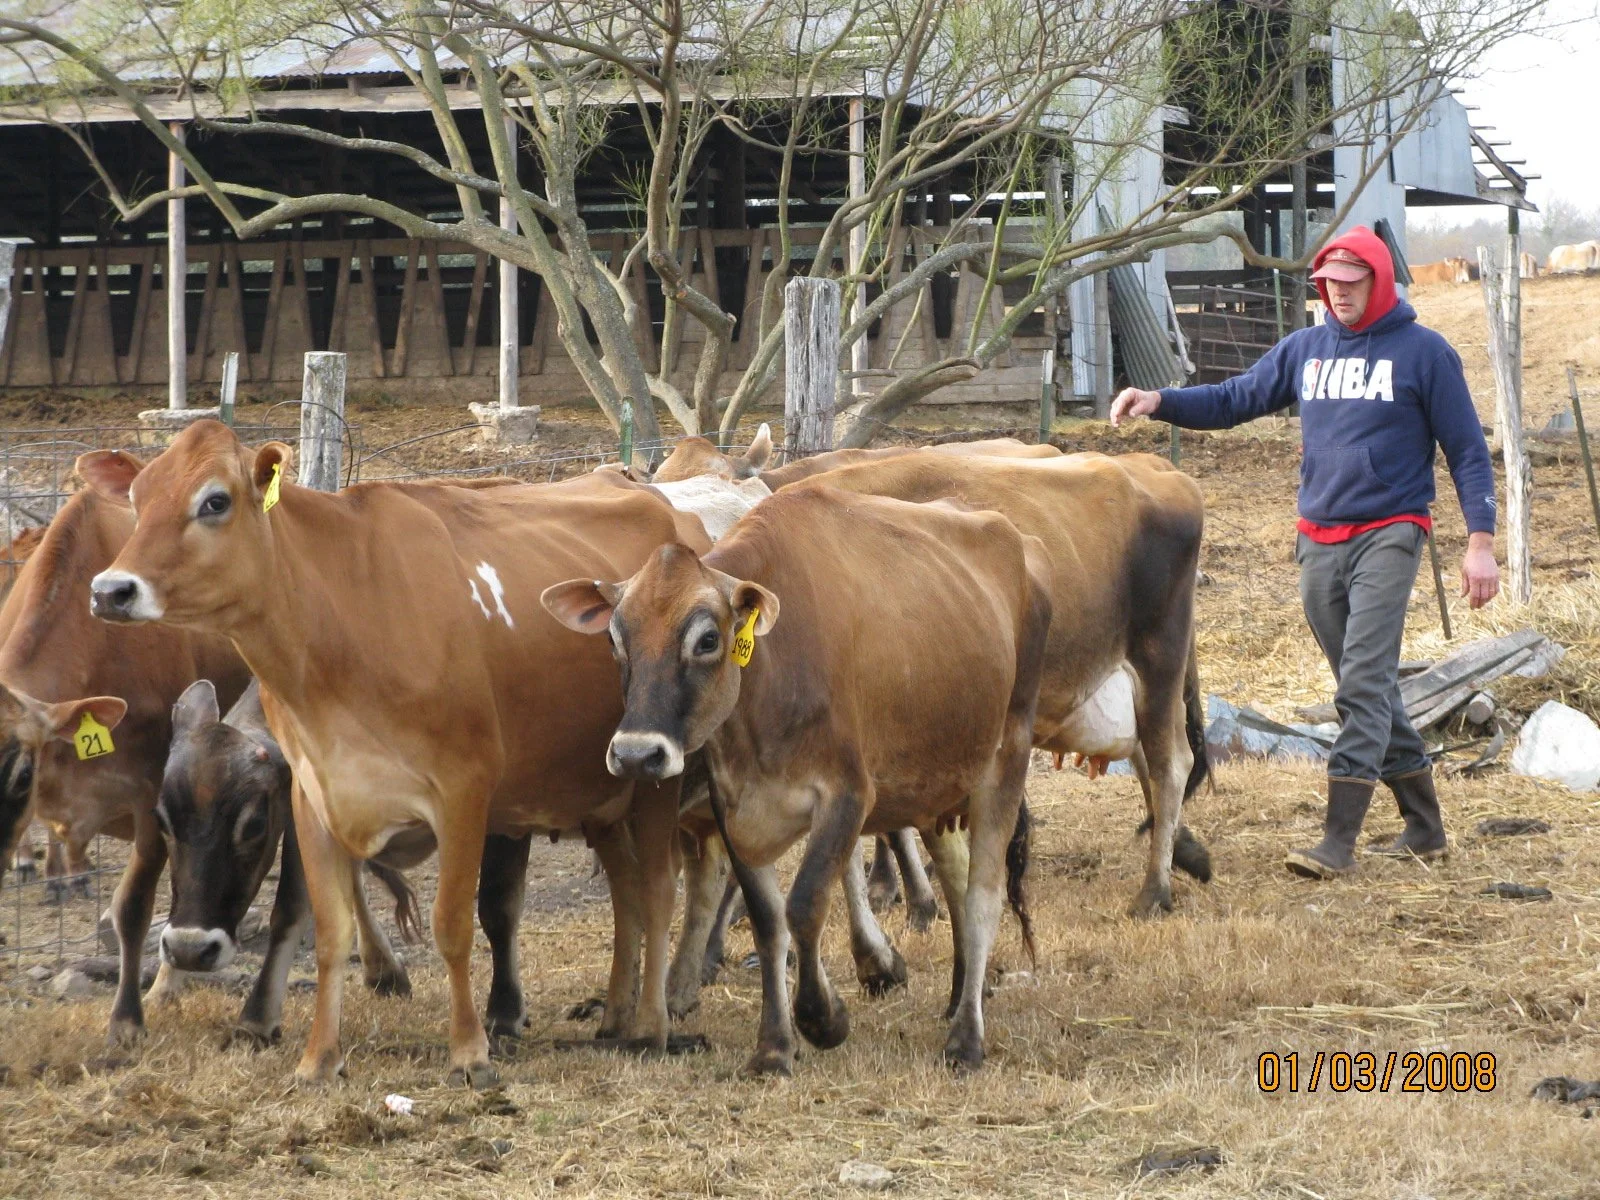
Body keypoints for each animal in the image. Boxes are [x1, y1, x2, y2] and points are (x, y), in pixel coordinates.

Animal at [80, 420, 712, 1086]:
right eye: (137, 499)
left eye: (215, 501)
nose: (110, 589)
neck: (346, 624)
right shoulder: (313, 797)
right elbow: (329, 928)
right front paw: (318, 1058)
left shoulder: (466, 794)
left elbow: (458, 923)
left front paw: (471, 1051)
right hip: (603, 799)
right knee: (626, 893)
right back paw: (616, 1015)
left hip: (653, 775)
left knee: (658, 890)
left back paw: (652, 1024)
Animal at [544, 485, 1053, 1072]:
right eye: (614, 639)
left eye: (707, 639)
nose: (636, 755)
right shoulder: (735, 808)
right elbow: (768, 921)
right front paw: (774, 1046)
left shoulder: (848, 794)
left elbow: (806, 903)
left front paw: (822, 1018)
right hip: (937, 780)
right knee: (955, 872)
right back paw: (960, 994)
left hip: (1005, 755)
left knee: (982, 898)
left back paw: (966, 1037)